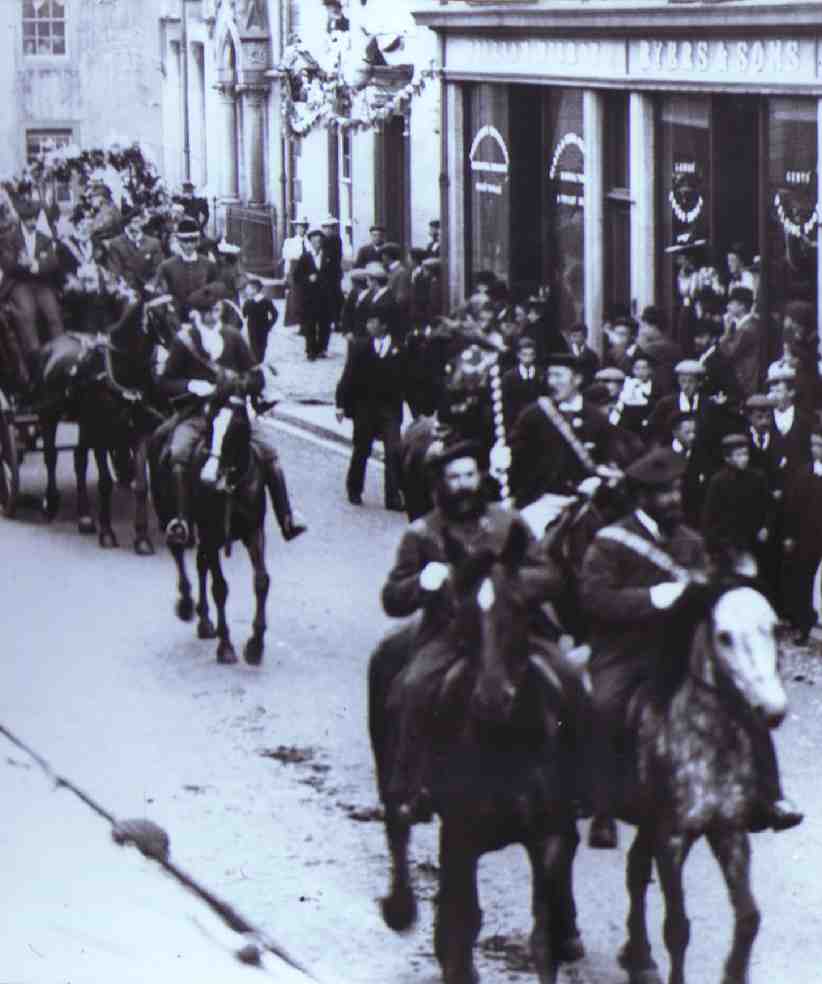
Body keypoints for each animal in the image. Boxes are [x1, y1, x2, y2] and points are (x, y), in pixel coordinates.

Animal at [366, 520, 584, 980]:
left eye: (517, 608)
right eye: (463, 612)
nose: (492, 697)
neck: (508, 740)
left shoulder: (549, 837)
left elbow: (541, 940)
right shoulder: (461, 835)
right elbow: (462, 920)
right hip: (393, 780)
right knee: (398, 828)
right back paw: (400, 907)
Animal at [596, 576, 796, 984]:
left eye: (773, 628)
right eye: (724, 636)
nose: (772, 711)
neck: (706, 739)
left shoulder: (728, 830)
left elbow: (749, 917)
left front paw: (735, 973)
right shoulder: (672, 838)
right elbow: (677, 928)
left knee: (635, 871)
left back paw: (638, 956)